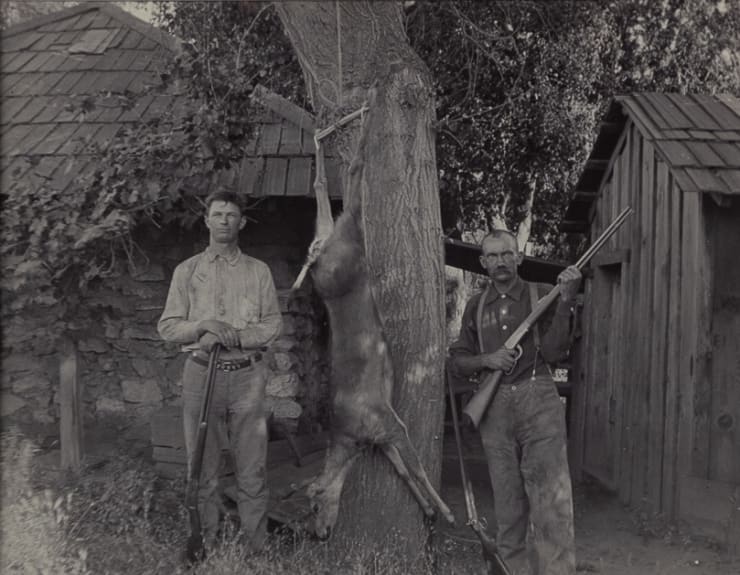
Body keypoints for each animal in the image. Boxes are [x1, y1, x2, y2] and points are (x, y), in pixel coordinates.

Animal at [292, 96, 455, 540]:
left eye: (314, 504)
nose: (320, 534)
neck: (350, 437)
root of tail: (322, 247)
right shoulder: (382, 435)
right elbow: (404, 471)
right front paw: (431, 511)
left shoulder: (386, 423)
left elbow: (416, 468)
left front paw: (446, 511)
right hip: (341, 252)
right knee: (330, 191)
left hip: (345, 252)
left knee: (351, 187)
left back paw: (361, 114)